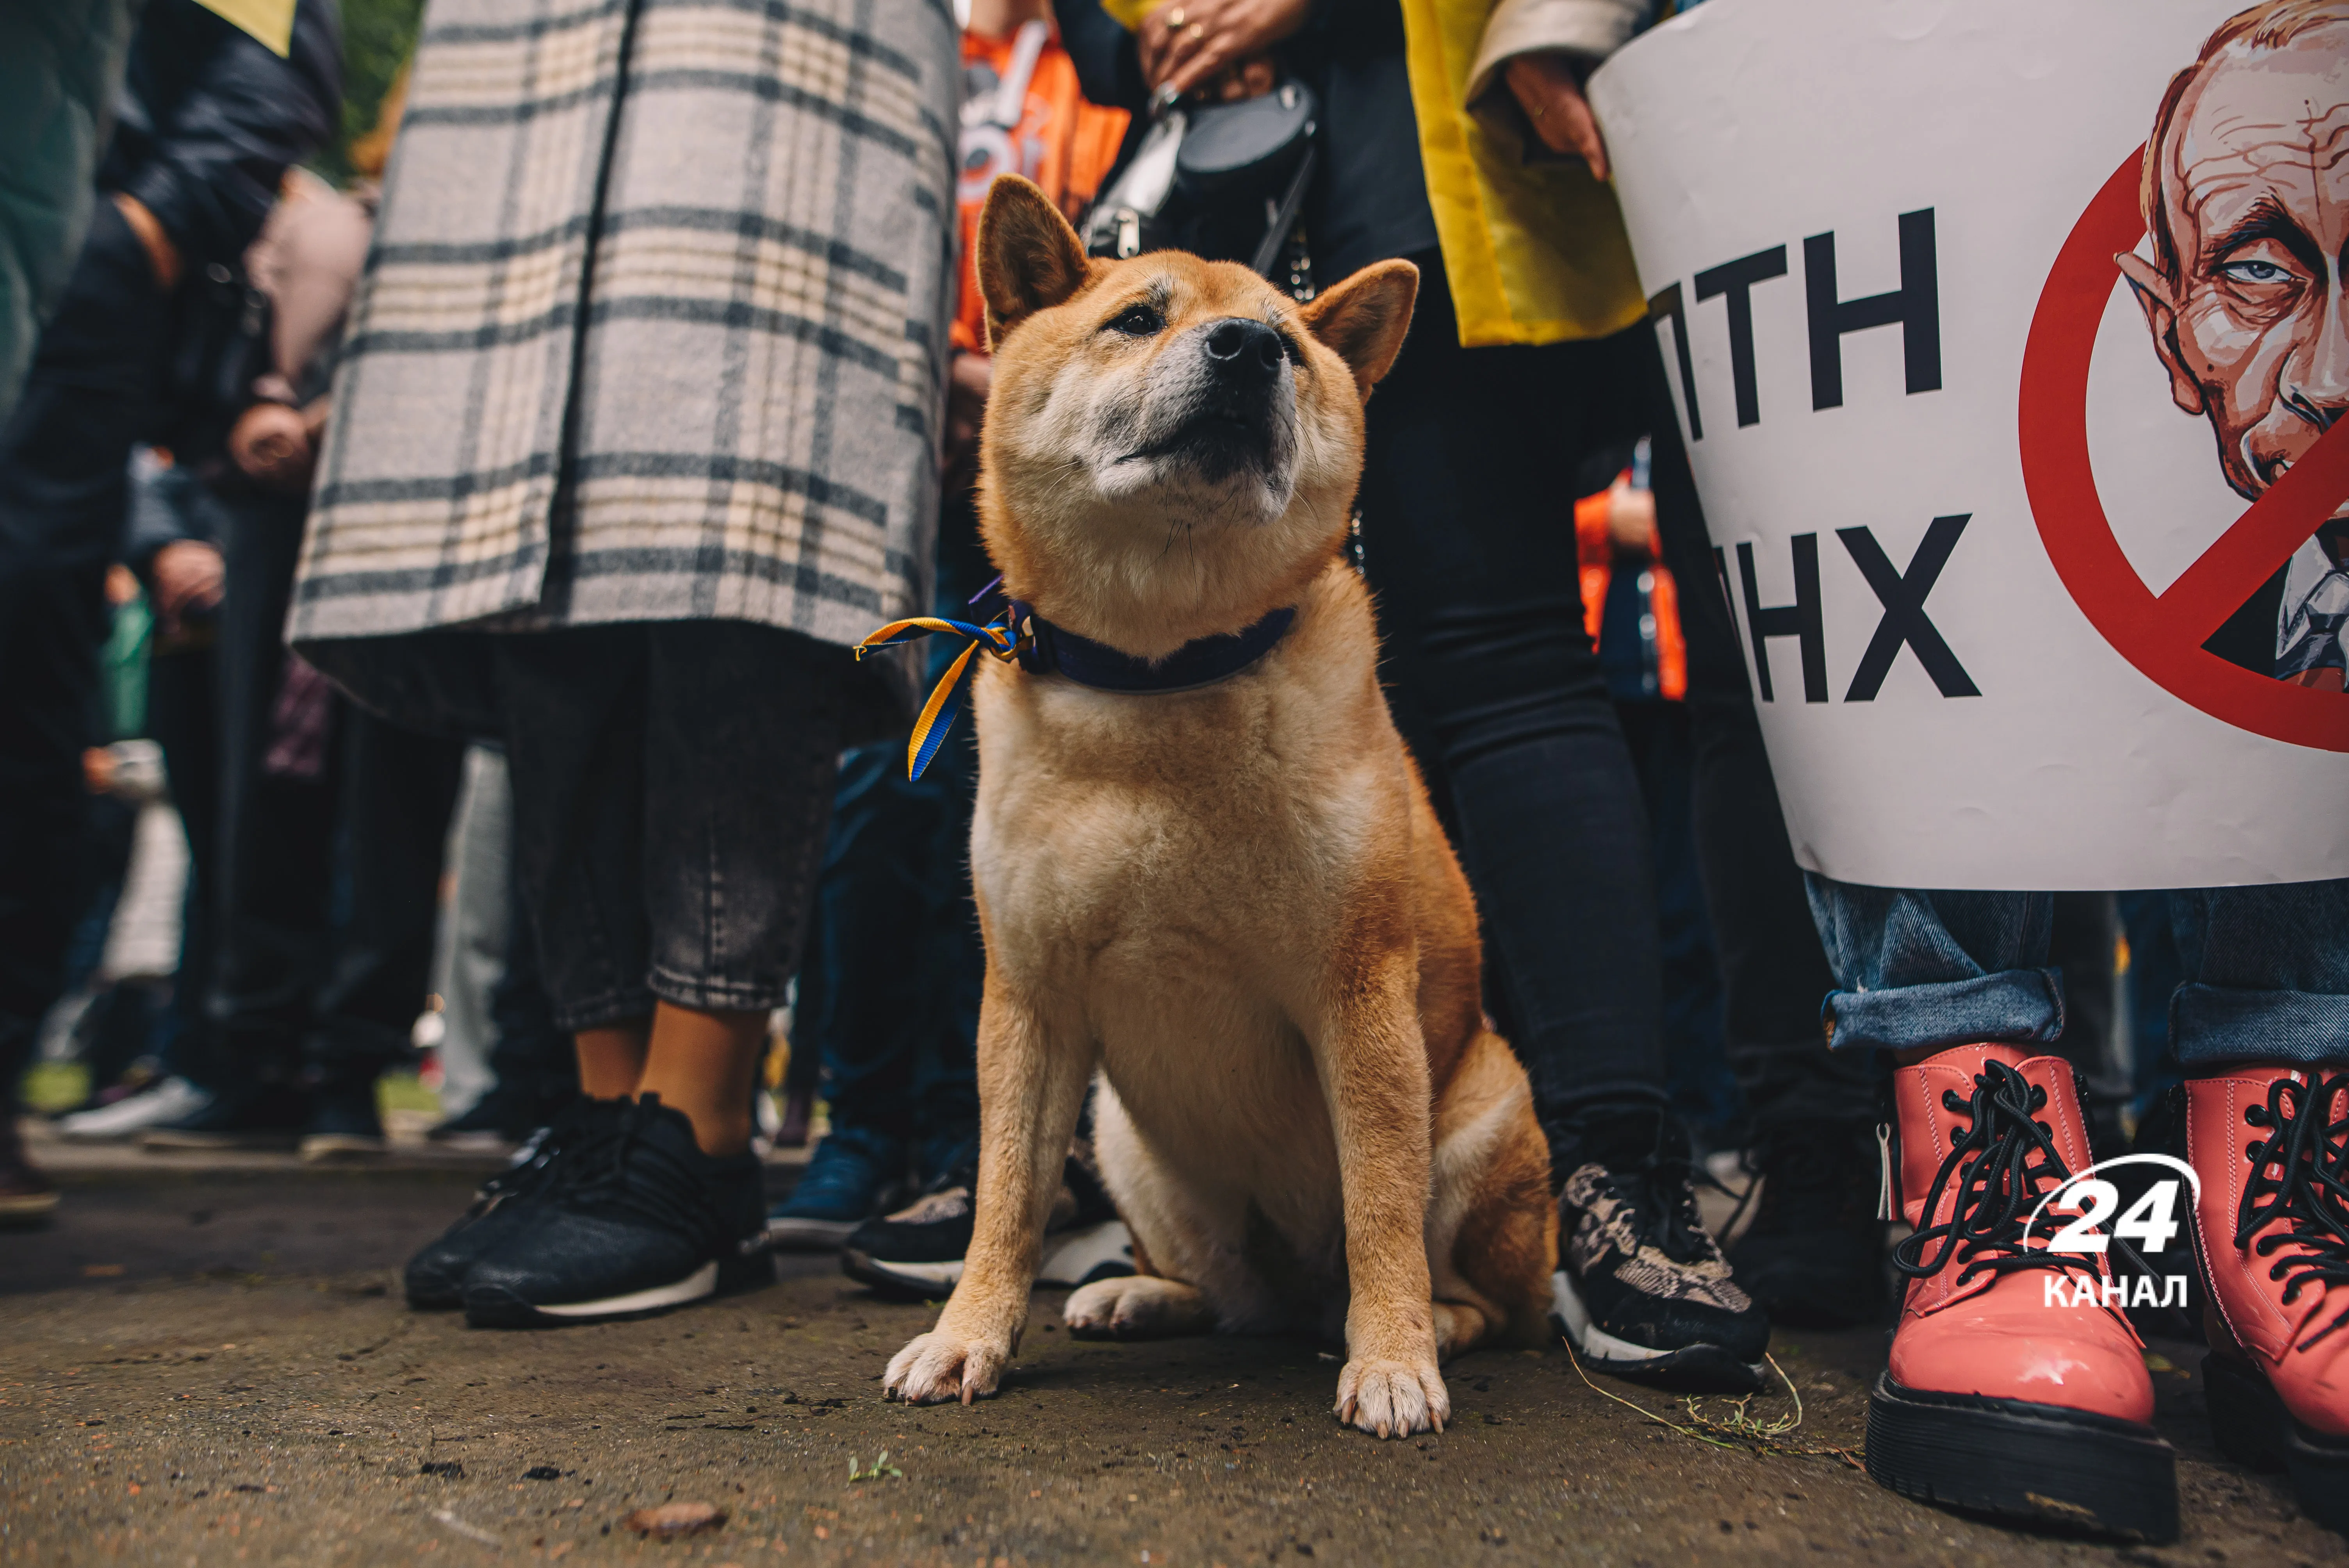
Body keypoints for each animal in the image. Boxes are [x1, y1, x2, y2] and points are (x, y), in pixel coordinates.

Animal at [883, 177, 1559, 1436]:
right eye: (1136, 318)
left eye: (1289, 342)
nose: (1246, 348)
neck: (1160, 677)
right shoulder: (1030, 998)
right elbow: (1004, 1196)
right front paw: (967, 1336)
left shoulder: (1359, 991)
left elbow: (1380, 1204)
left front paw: (1392, 1359)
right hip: (1122, 1133)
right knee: (1229, 1291)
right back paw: (1142, 1293)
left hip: (1486, 1110)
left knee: (1479, 1295)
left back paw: (1430, 1322)